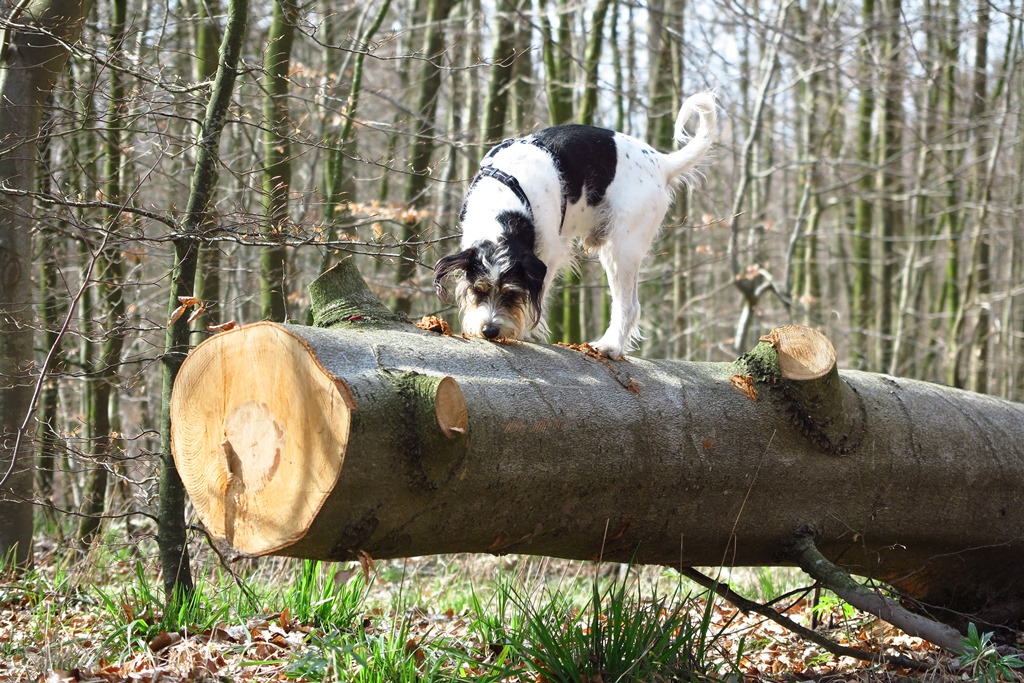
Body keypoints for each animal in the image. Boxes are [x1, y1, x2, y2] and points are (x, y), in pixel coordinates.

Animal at [436, 92, 716, 358]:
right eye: (479, 290)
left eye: (510, 293)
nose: (490, 330)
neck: (501, 205)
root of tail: (661, 163)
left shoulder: (548, 256)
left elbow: (537, 296)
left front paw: (524, 330)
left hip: (620, 249)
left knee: (628, 305)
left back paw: (611, 346)